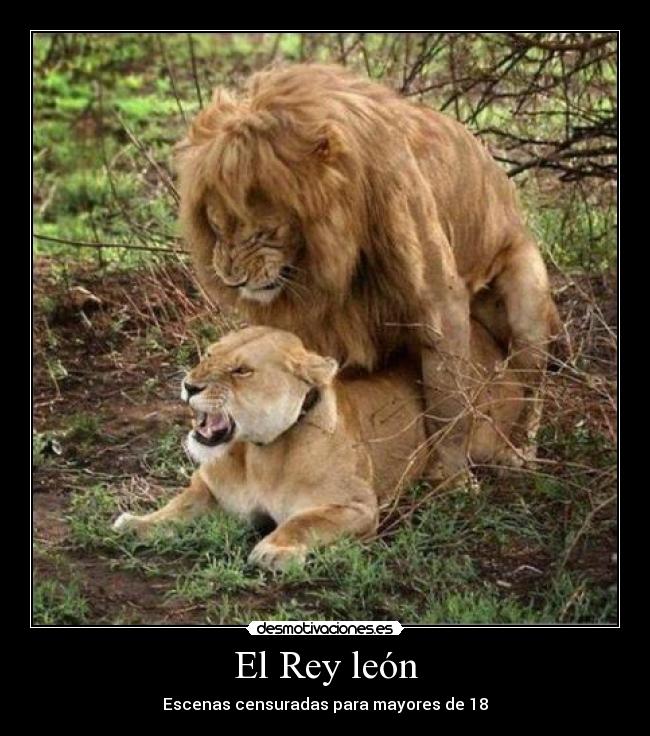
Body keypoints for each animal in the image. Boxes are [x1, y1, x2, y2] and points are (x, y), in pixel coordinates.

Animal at [113, 324, 527, 570]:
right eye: (209, 354)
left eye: (242, 370)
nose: (189, 385)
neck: (259, 453)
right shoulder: (211, 489)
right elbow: (176, 508)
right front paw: (137, 523)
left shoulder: (358, 507)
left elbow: (303, 521)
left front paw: (273, 550)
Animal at [175, 63, 560, 481]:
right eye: (216, 226)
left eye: (263, 232)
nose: (230, 278)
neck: (328, 262)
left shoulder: (439, 306)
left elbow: (449, 403)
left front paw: (451, 478)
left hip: (527, 306)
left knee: (533, 385)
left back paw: (519, 454)